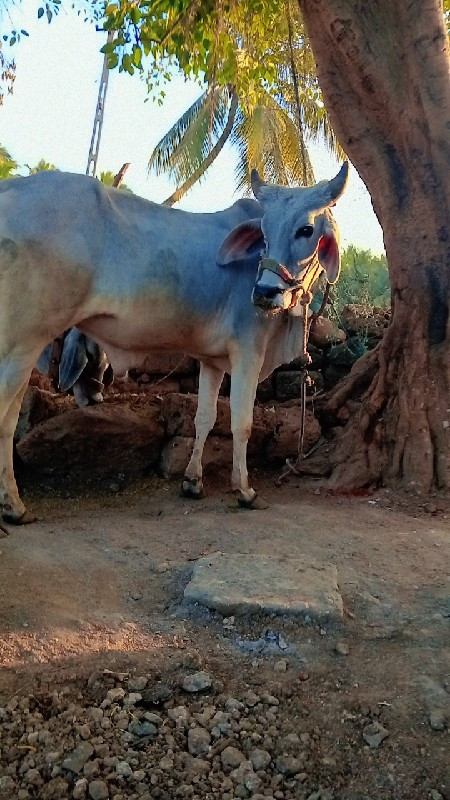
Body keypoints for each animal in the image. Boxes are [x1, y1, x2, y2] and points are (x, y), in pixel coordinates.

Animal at [0, 164, 348, 524]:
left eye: (306, 229)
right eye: (264, 232)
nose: (264, 292)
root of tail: (10, 189)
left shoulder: (212, 361)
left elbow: (205, 417)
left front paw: (192, 481)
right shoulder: (248, 352)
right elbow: (241, 422)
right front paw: (245, 490)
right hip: (22, 342)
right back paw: (14, 506)